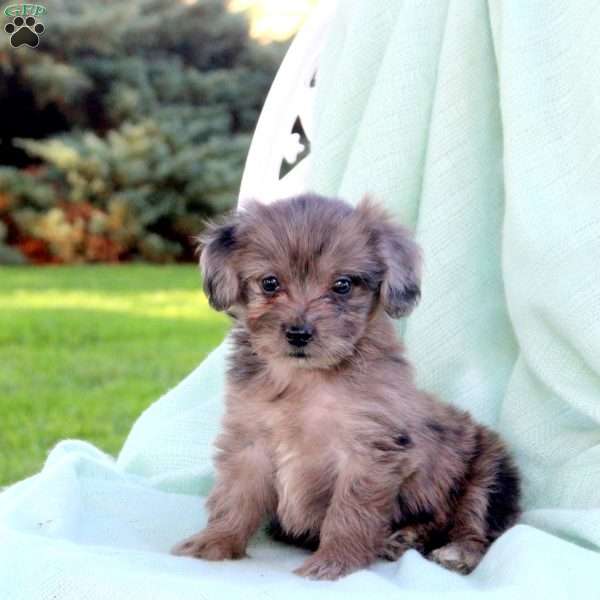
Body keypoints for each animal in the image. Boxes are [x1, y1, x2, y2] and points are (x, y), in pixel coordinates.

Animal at [172, 195, 520, 580]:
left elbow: (349, 512)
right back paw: (403, 538)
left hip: (488, 470)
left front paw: (335, 560)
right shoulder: (249, 441)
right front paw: (216, 540)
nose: (298, 333)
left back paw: (455, 550)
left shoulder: (367, 451)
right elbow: (235, 496)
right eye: (270, 283)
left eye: (342, 285)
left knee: (473, 521)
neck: (305, 379)